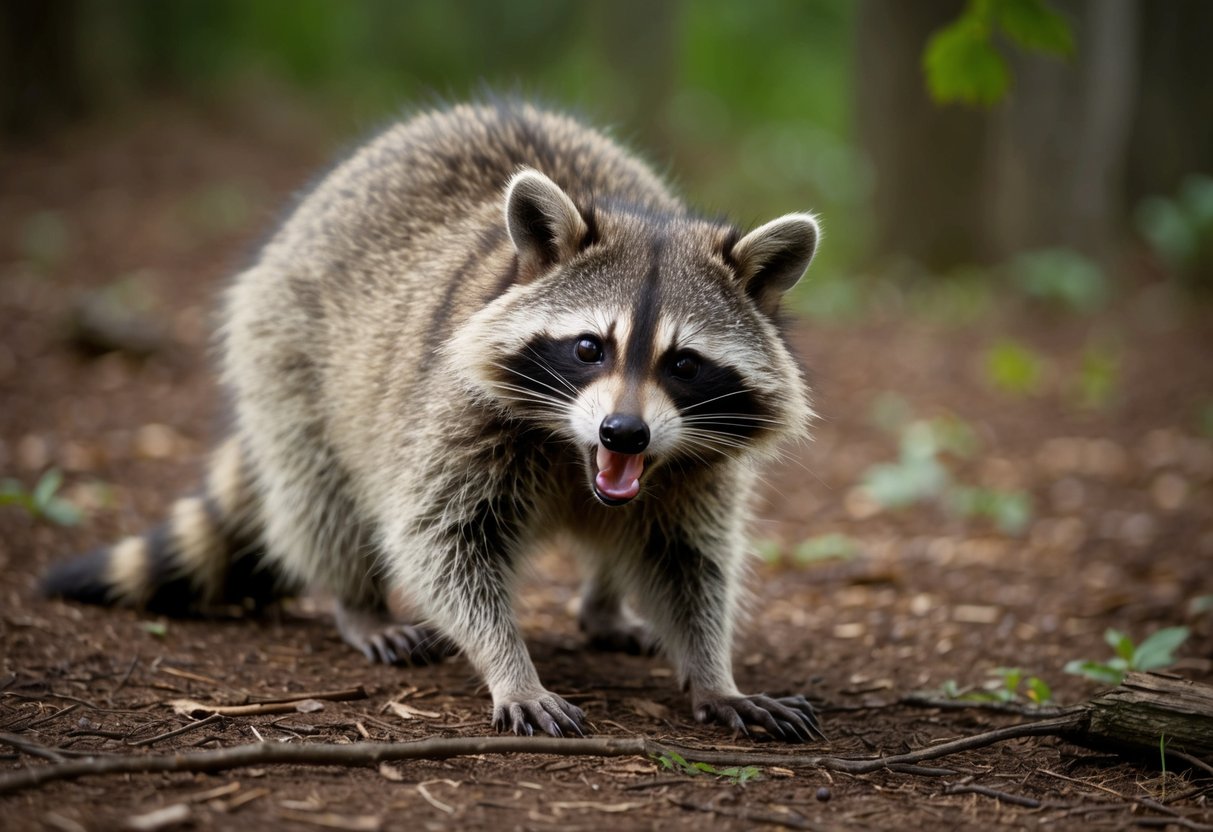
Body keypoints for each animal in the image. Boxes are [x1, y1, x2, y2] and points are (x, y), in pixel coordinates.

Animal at [44, 101, 822, 741]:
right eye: (588, 348)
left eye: (683, 363)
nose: (623, 435)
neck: (572, 452)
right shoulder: (452, 411)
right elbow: (440, 542)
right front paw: (509, 664)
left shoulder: (697, 464)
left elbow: (689, 560)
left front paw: (713, 673)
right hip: (285, 347)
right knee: (319, 491)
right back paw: (357, 603)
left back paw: (602, 606)